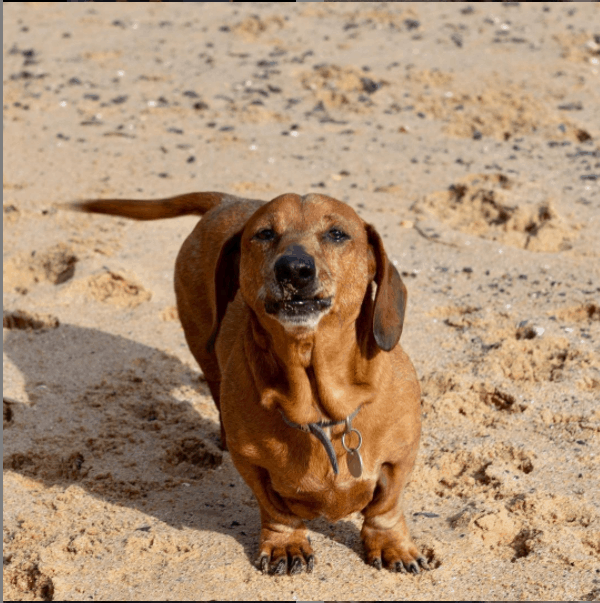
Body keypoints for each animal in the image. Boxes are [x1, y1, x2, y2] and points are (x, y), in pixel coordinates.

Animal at [70, 192, 426, 576]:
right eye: (265, 234)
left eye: (337, 233)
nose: (294, 269)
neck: (318, 405)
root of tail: (229, 199)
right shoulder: (252, 465)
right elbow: (275, 509)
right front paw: (287, 543)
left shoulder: (400, 459)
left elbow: (385, 507)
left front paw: (391, 544)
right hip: (204, 349)